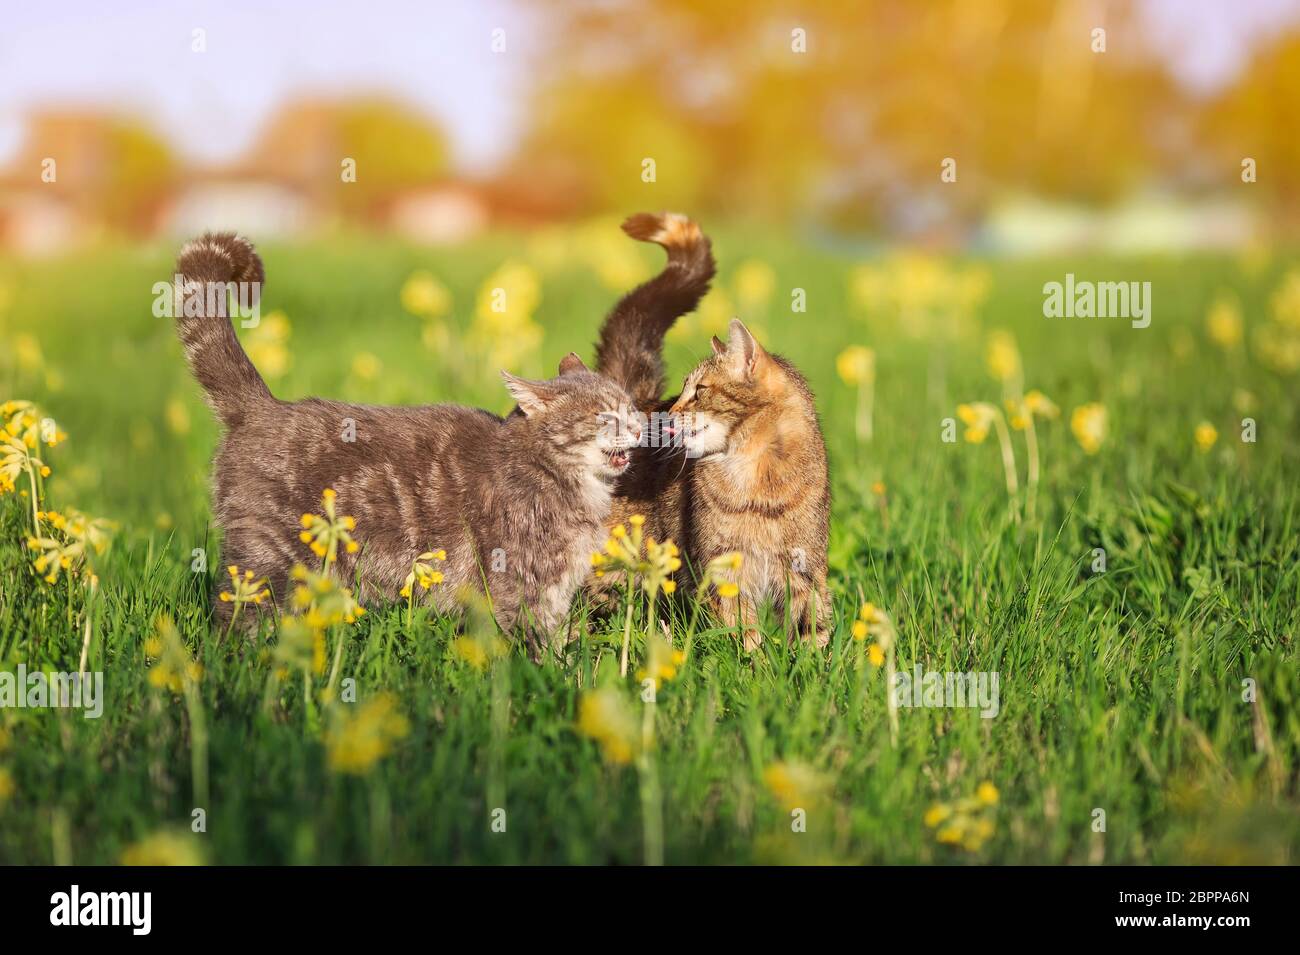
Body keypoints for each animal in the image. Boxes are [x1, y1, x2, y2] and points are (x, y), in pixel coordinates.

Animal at [172, 232, 639, 654]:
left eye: (631, 407)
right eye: (604, 415)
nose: (637, 427)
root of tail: (262, 407)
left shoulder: (555, 592)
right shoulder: (518, 584)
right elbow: (528, 648)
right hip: (270, 557)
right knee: (236, 615)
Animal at [592, 216, 832, 649]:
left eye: (699, 390)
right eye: (683, 391)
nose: (669, 413)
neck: (757, 479)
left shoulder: (805, 567)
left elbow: (813, 630)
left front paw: (813, 663)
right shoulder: (722, 568)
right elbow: (742, 634)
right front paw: (753, 662)